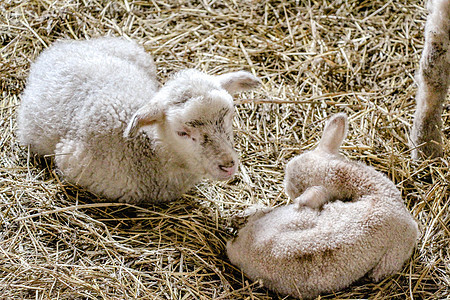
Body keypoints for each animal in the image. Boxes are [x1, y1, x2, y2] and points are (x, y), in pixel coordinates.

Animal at [16, 35, 260, 204]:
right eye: (182, 132)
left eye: (229, 117)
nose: (227, 165)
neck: (148, 147)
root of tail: (61, 47)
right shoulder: (73, 161)